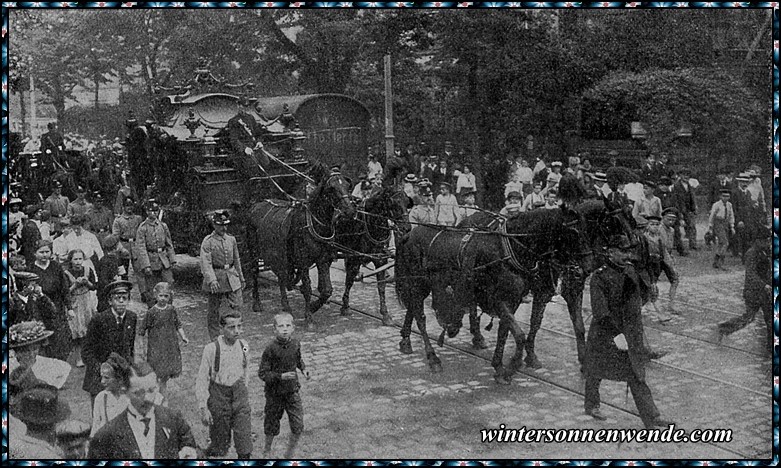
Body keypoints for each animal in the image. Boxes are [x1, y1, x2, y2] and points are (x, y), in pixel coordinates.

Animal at [248, 164, 354, 330]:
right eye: (331, 188)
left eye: (348, 186)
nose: (349, 211)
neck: (315, 224)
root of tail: (255, 205)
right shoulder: (303, 262)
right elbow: (307, 289)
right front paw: (309, 317)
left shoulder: (323, 260)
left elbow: (326, 290)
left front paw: (313, 307)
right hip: (254, 252)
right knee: (254, 273)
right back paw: (257, 303)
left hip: (280, 254)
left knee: (281, 277)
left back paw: (286, 306)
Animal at [334, 186, 408, 326]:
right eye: (394, 203)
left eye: (407, 202)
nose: (407, 227)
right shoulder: (354, 257)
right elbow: (349, 281)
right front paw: (345, 307)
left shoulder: (381, 259)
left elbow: (381, 287)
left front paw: (385, 315)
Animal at [394, 207, 588, 382]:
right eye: (574, 231)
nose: (582, 270)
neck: (509, 250)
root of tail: (408, 235)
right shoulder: (498, 300)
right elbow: (519, 335)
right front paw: (512, 366)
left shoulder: (513, 300)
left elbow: (505, 331)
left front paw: (499, 366)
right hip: (417, 283)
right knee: (420, 317)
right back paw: (433, 358)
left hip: (421, 285)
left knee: (412, 309)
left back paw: (406, 340)